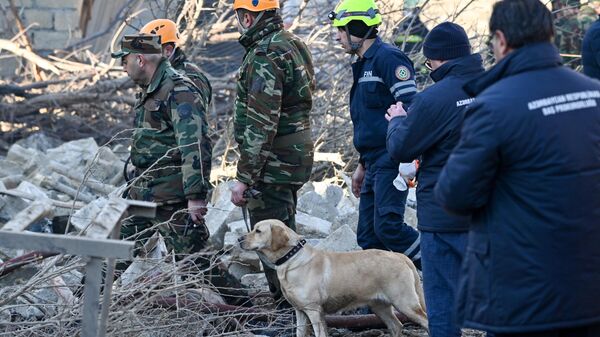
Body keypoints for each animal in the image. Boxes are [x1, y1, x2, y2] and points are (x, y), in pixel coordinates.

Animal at [237, 218, 428, 336]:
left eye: (258, 231)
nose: (239, 239)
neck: (291, 257)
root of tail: (400, 256)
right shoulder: (300, 311)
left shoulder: (313, 311)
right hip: (379, 305)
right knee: (397, 325)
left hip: (405, 303)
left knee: (425, 321)